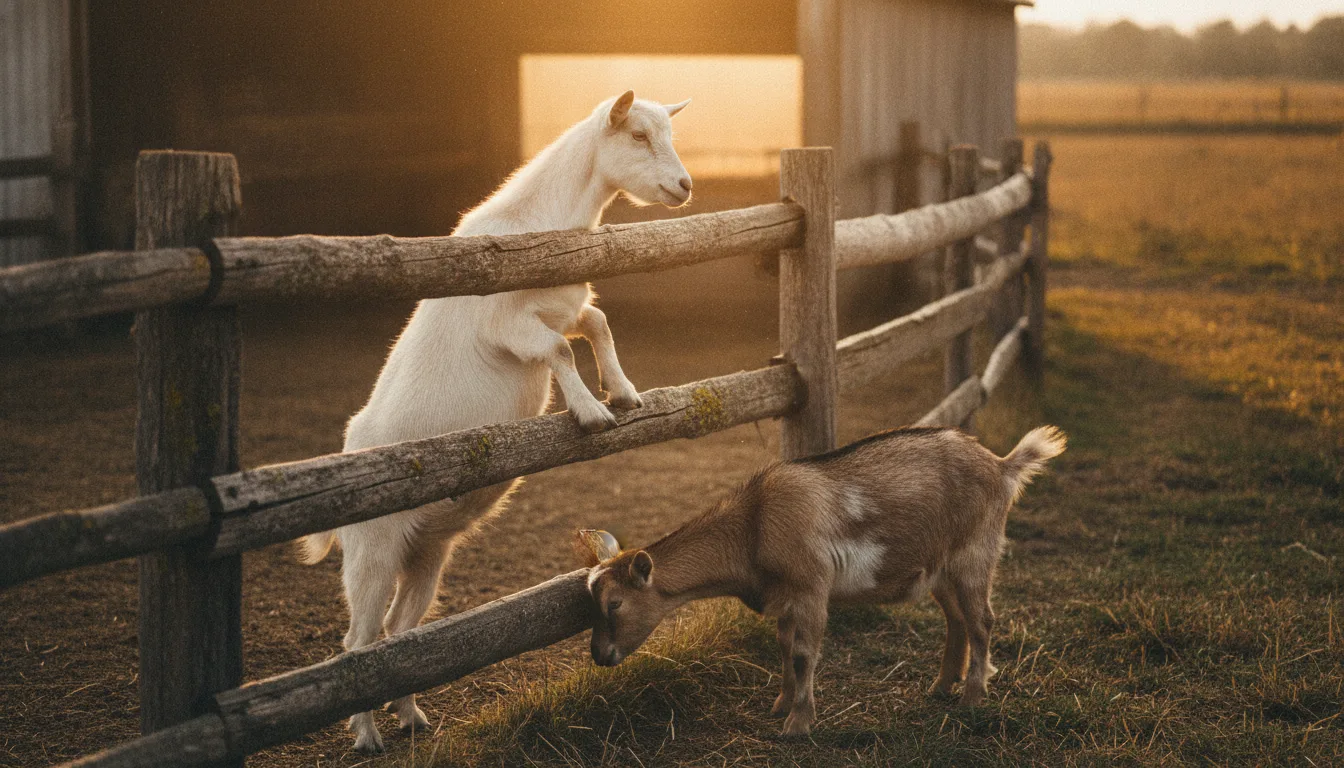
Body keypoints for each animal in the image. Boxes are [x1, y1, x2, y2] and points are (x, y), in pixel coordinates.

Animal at [302, 90, 693, 754]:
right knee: (357, 643)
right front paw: (589, 411)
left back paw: (410, 716)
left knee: (402, 634)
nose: (686, 185)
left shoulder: (563, 305)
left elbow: (597, 323)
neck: (544, 228)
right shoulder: (508, 326)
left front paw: (623, 391)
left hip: (426, 553)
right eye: (638, 135)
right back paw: (366, 735)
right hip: (372, 550)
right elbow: (560, 350)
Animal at [578, 425, 1066, 736]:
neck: (753, 527)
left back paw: (972, 698)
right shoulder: (786, 598)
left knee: (982, 620)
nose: (601, 656)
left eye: (615, 604)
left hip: (974, 554)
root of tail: (1002, 465)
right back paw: (942, 687)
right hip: (940, 567)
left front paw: (798, 725)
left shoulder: (812, 586)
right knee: (958, 620)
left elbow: (801, 653)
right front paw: (780, 704)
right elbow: (782, 645)